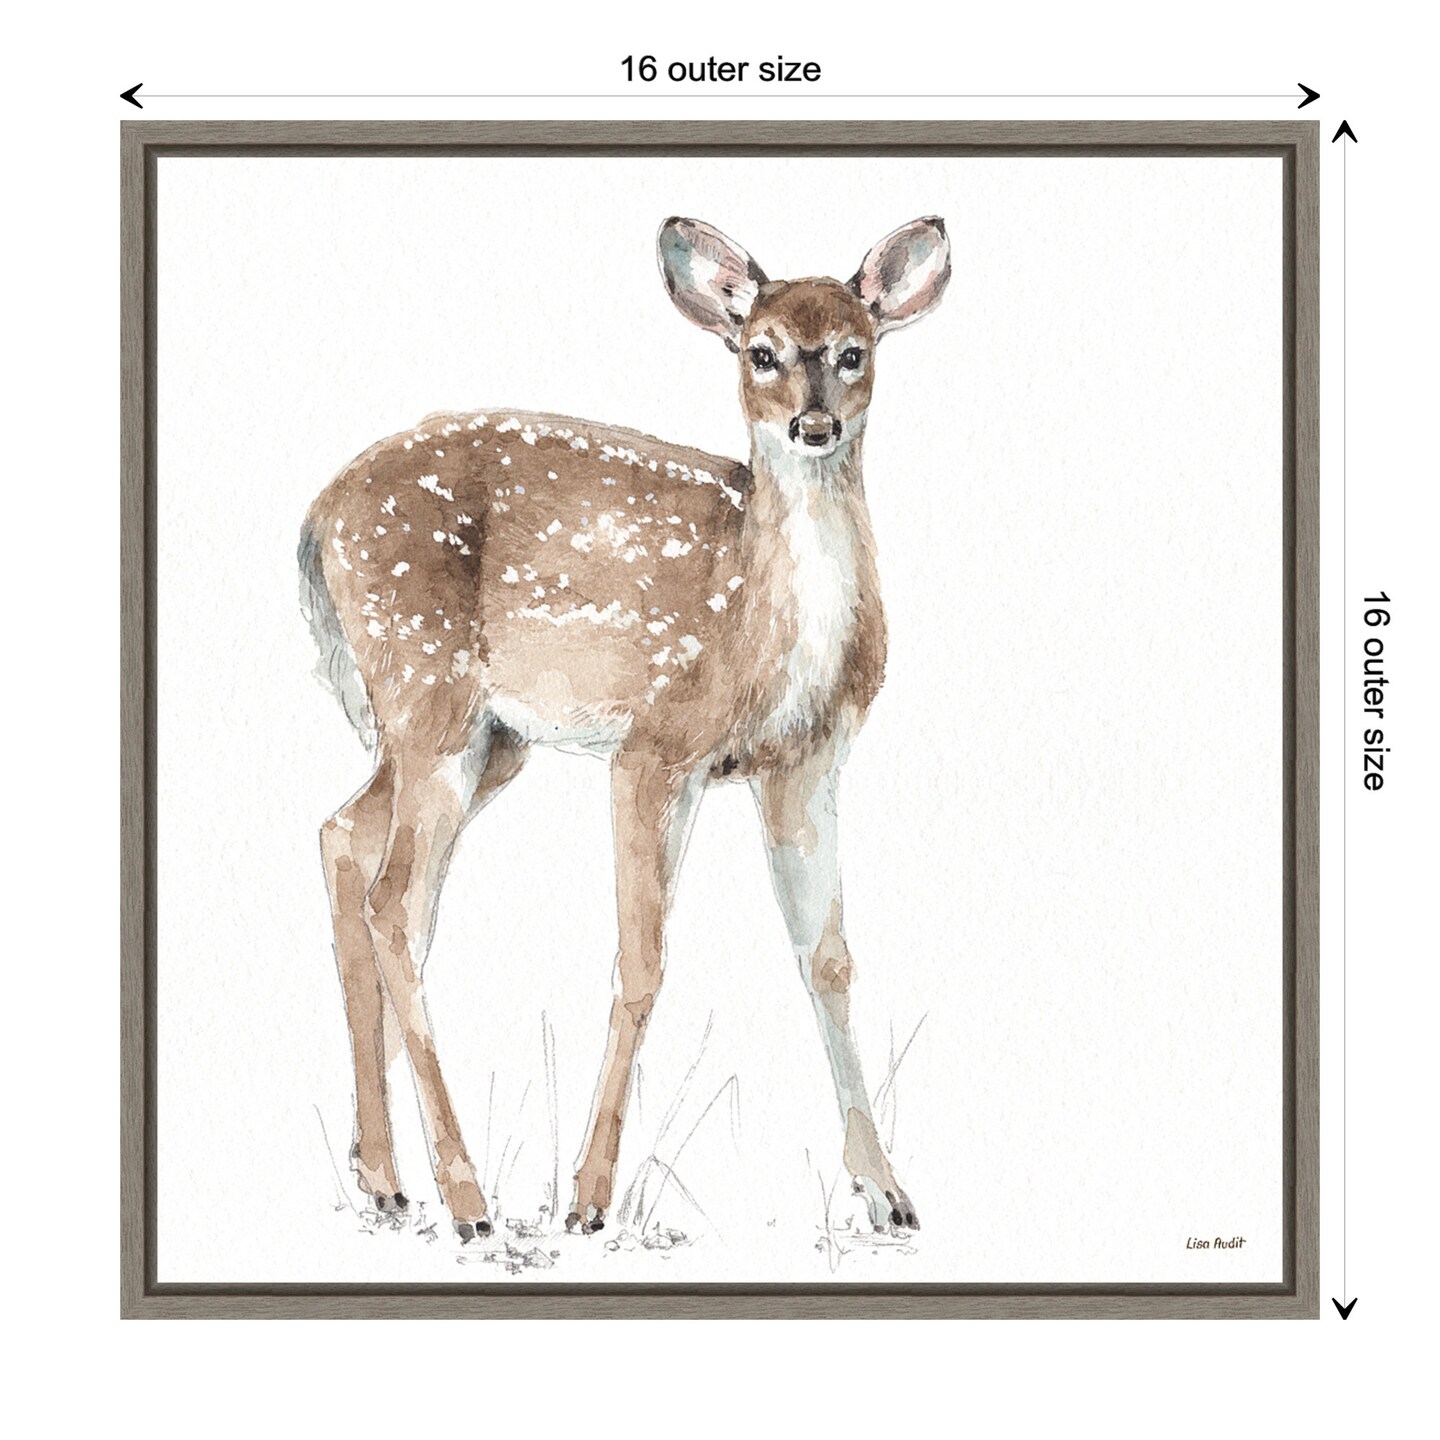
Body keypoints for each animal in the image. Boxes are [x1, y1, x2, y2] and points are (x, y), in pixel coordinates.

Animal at [299, 215, 950, 1241]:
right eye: (760, 352)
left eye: (855, 351)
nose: (813, 427)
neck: (764, 626)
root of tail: (316, 522)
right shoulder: (655, 745)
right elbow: (641, 963)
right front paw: (589, 1201)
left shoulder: (804, 762)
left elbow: (829, 959)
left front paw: (888, 1193)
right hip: (426, 695)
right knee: (395, 902)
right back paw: (467, 1198)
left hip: (481, 741)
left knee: (345, 842)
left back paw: (384, 1178)